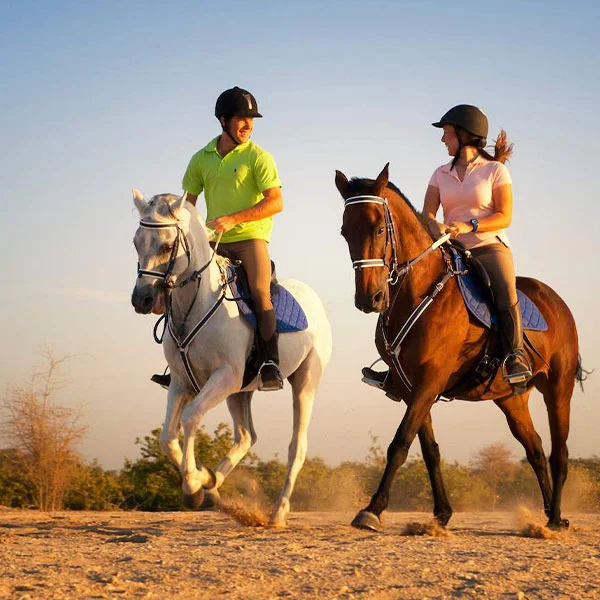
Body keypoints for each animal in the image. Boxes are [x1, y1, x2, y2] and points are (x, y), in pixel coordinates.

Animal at [131, 191, 332, 524]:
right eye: (136, 242)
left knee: (297, 447)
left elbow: (190, 417)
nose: (141, 300)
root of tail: (313, 299)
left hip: (305, 382)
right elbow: (167, 436)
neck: (197, 302)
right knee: (246, 436)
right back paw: (214, 484)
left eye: (166, 246)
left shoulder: (224, 376)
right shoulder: (181, 382)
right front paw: (203, 479)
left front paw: (193, 486)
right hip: (240, 393)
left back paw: (278, 511)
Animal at [336, 163, 588, 528]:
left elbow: (400, 442)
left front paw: (372, 509)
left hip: (559, 387)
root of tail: (557, 302)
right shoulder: (410, 386)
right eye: (345, 232)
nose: (370, 298)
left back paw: (555, 518)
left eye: (380, 228)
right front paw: (442, 513)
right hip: (511, 399)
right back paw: (546, 514)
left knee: (560, 452)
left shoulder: (431, 379)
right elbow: (429, 450)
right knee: (536, 450)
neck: (419, 290)